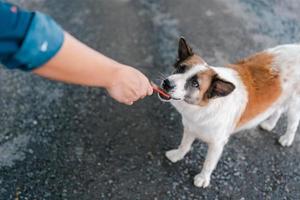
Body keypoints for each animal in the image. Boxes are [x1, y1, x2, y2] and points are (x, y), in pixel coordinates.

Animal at [161, 37, 300, 188]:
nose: (166, 83)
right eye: (180, 68)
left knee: (293, 124)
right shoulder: (190, 128)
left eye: (195, 84)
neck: (205, 106)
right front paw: (177, 155)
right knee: (278, 109)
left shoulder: (217, 144)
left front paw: (203, 178)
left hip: (294, 105)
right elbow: (184, 145)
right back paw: (269, 124)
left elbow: (208, 163)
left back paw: (287, 139)